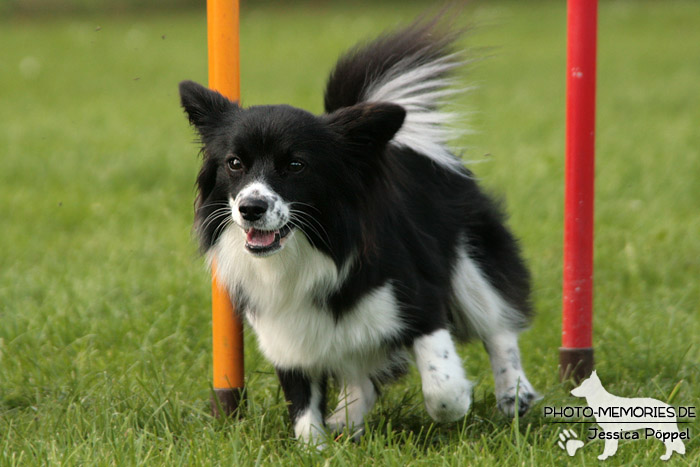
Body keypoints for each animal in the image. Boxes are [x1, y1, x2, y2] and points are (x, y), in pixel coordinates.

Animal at [178, 11, 540, 446]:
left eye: (296, 165)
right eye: (234, 163)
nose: (250, 208)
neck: (308, 248)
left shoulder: (417, 298)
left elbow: (444, 389)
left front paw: (460, 402)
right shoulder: (284, 329)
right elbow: (304, 403)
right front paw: (318, 445)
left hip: (471, 259)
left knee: (497, 324)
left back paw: (515, 396)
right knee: (359, 372)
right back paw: (346, 420)